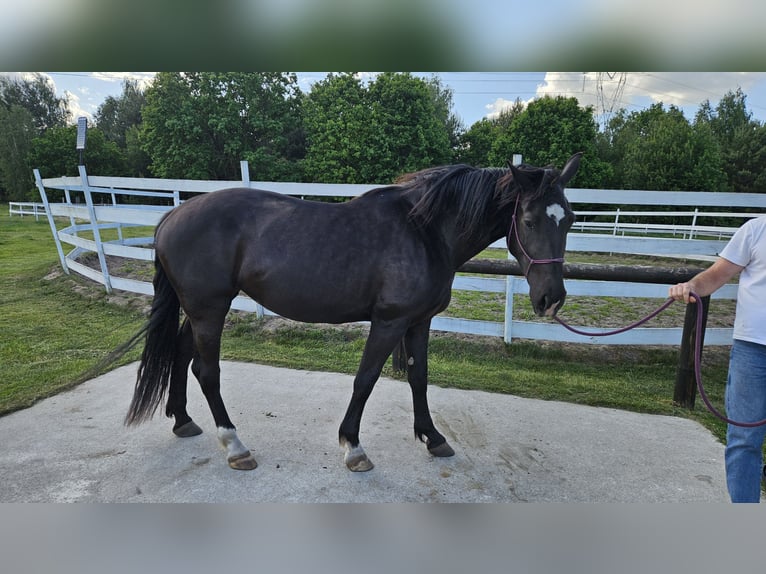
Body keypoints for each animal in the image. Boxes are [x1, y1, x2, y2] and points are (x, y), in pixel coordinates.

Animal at [124, 153, 582, 471]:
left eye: (570, 219)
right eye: (528, 219)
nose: (551, 298)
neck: (425, 232)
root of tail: (171, 215)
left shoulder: (419, 321)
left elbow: (419, 377)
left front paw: (433, 438)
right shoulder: (389, 322)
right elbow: (366, 379)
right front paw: (353, 446)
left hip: (200, 310)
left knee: (181, 353)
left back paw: (183, 420)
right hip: (210, 310)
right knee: (207, 371)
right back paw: (236, 446)